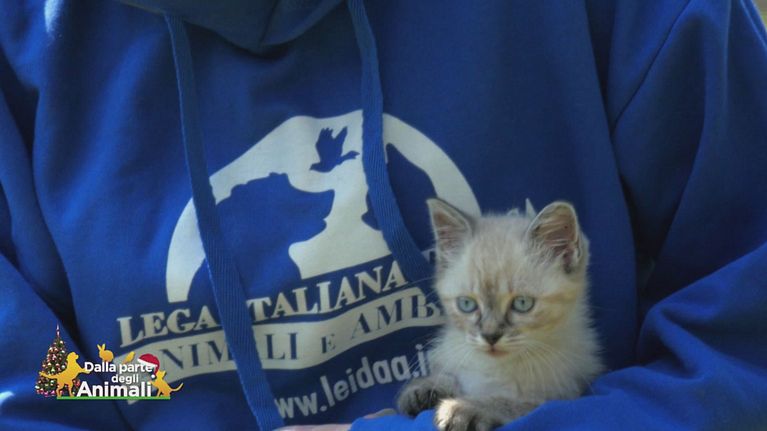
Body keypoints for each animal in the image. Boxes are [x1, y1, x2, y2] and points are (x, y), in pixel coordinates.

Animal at [397, 198, 604, 431]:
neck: (495, 366)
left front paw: (461, 408)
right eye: (467, 304)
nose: (490, 337)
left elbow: (504, 402)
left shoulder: (559, 395)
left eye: (522, 303)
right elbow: (450, 375)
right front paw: (423, 388)